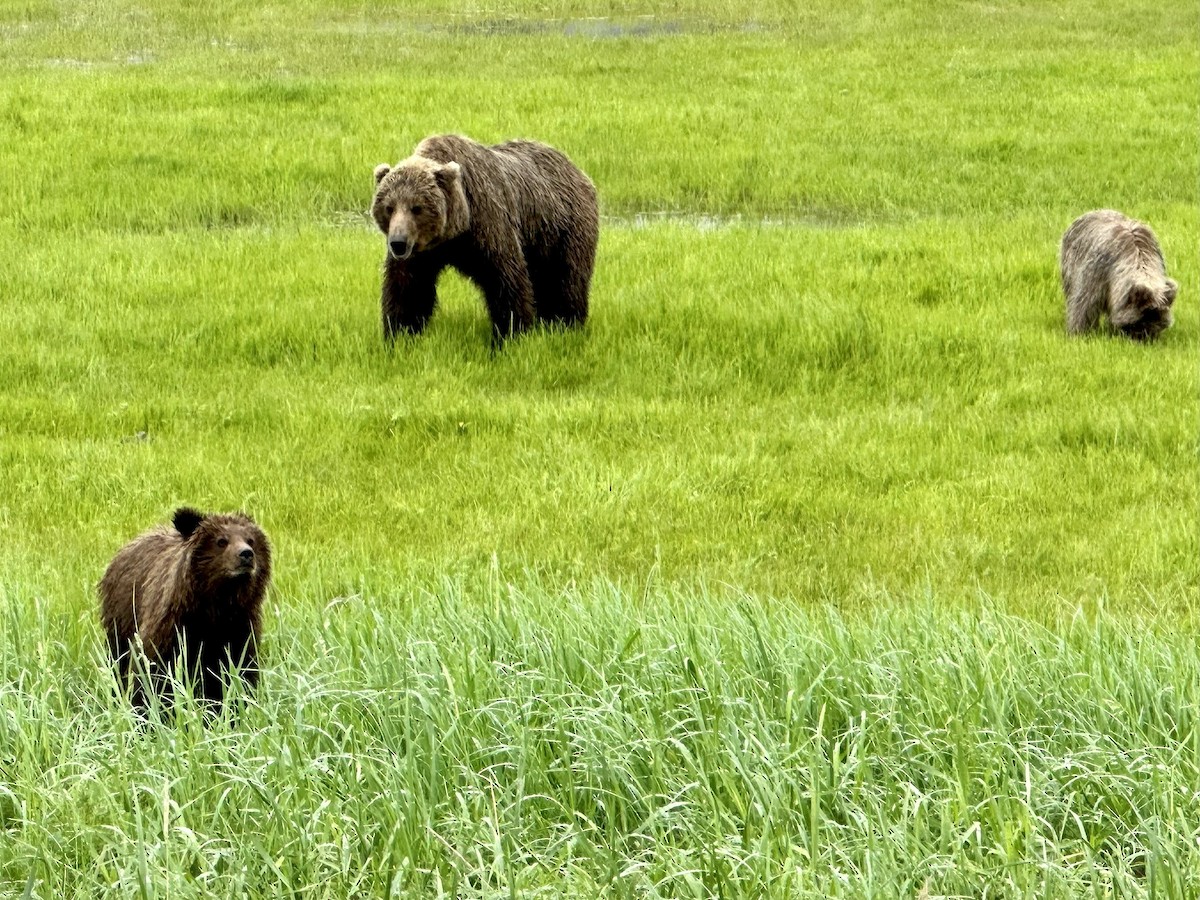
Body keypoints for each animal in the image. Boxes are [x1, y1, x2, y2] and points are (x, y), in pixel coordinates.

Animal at [99, 507, 272, 714]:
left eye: (250, 539)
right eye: (221, 541)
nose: (246, 554)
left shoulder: (238, 628)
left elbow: (238, 670)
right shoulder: (171, 624)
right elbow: (151, 668)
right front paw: (147, 708)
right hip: (122, 616)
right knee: (118, 657)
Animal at [371, 134, 599, 343]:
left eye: (417, 208)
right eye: (389, 207)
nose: (398, 243)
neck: (454, 232)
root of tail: (577, 170)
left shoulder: (488, 223)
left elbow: (507, 279)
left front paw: (509, 335)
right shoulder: (422, 252)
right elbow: (406, 289)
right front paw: (400, 336)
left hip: (565, 229)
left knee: (566, 280)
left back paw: (566, 324)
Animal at [1060, 209, 1178, 341]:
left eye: (1158, 323)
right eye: (1140, 321)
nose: (1145, 338)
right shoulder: (1096, 275)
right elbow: (1083, 305)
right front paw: (1080, 333)